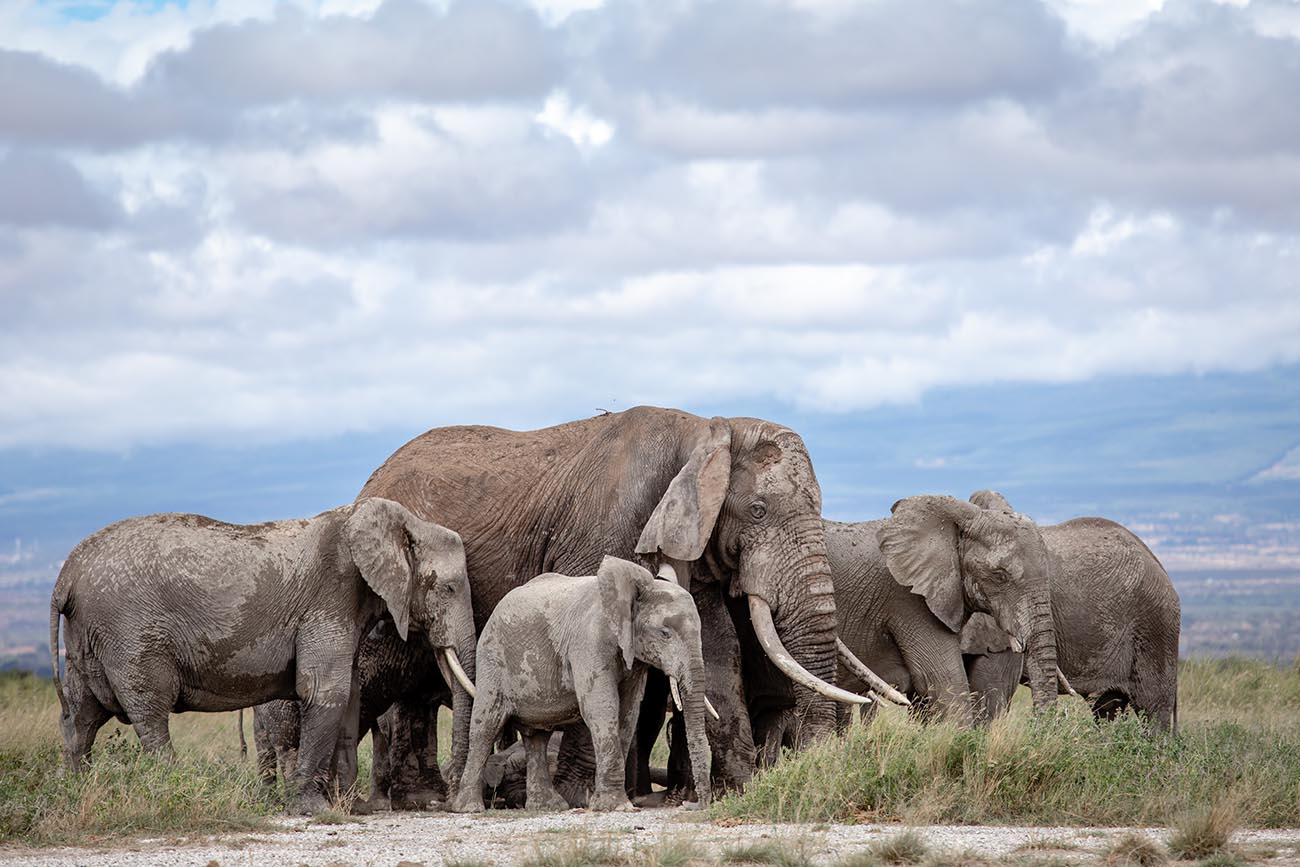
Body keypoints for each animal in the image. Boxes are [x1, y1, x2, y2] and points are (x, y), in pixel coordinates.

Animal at [49, 493, 483, 816]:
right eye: (448, 588)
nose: (453, 804)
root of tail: (66, 574)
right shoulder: (330, 597)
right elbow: (325, 692)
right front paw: (314, 810)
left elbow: (348, 696)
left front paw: (349, 808)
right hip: (129, 634)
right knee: (150, 712)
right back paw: (167, 788)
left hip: (88, 636)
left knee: (82, 714)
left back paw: (73, 789)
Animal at [452, 556, 717, 816]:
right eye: (664, 634)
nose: (690, 804)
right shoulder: (589, 641)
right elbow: (602, 707)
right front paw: (617, 806)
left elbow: (628, 711)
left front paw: (602, 803)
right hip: (492, 656)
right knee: (486, 726)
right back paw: (469, 808)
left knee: (537, 736)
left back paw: (548, 806)